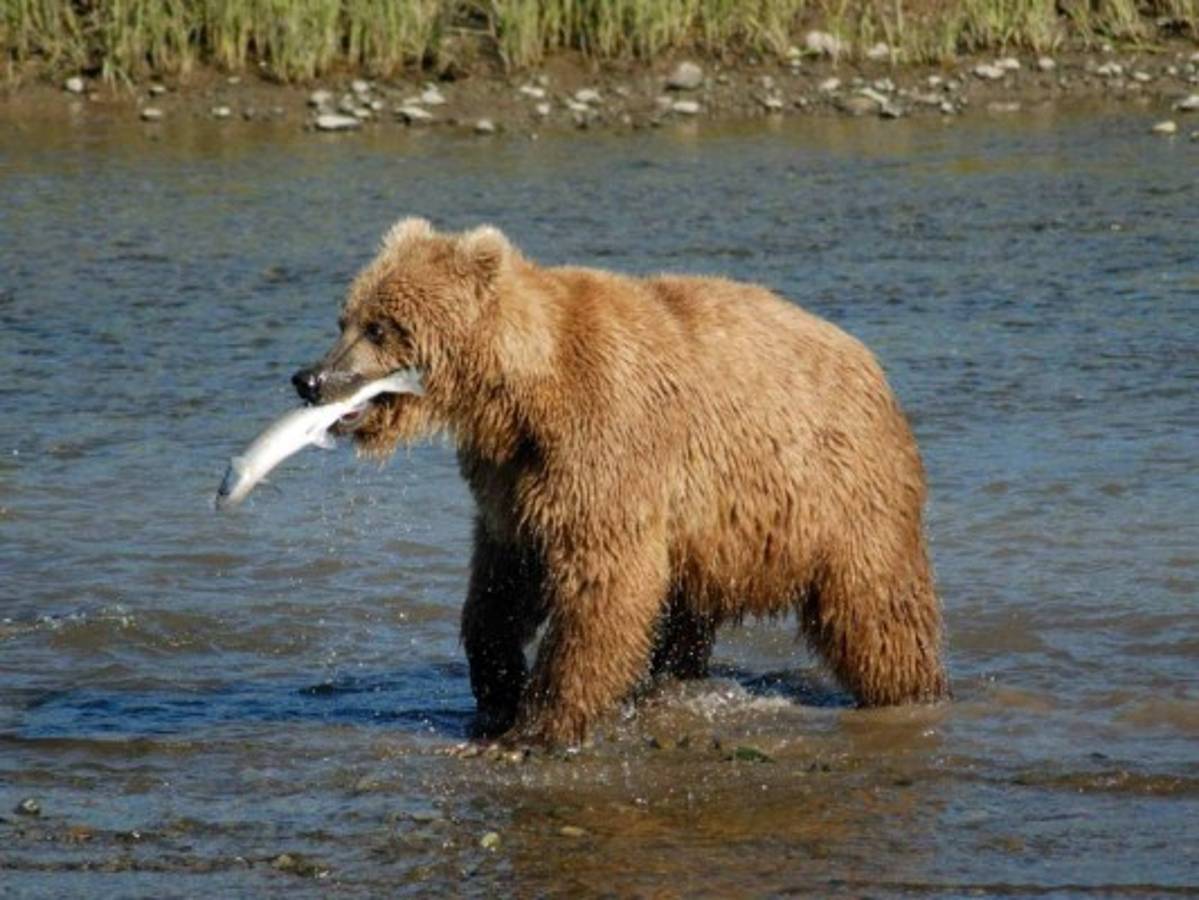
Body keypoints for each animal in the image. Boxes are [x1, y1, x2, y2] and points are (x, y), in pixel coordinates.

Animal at [291, 217, 948, 747]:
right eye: (345, 318)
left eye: (381, 326)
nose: (310, 379)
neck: (515, 396)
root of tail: (870, 364)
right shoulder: (510, 479)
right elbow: (502, 582)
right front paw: (497, 690)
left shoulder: (606, 439)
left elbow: (602, 581)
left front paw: (539, 724)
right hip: (714, 536)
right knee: (686, 615)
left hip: (838, 490)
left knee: (876, 607)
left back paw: (911, 691)